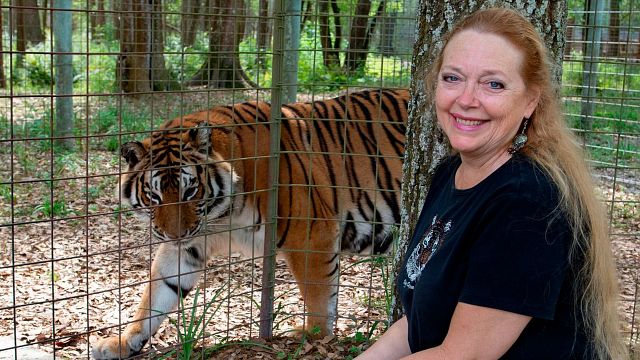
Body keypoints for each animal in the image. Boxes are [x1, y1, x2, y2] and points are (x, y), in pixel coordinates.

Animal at [92, 88, 408, 358]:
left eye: (190, 191)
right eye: (154, 196)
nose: (176, 235)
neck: (221, 214)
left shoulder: (310, 231)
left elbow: (318, 295)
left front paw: (315, 338)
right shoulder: (190, 245)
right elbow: (156, 293)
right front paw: (122, 342)